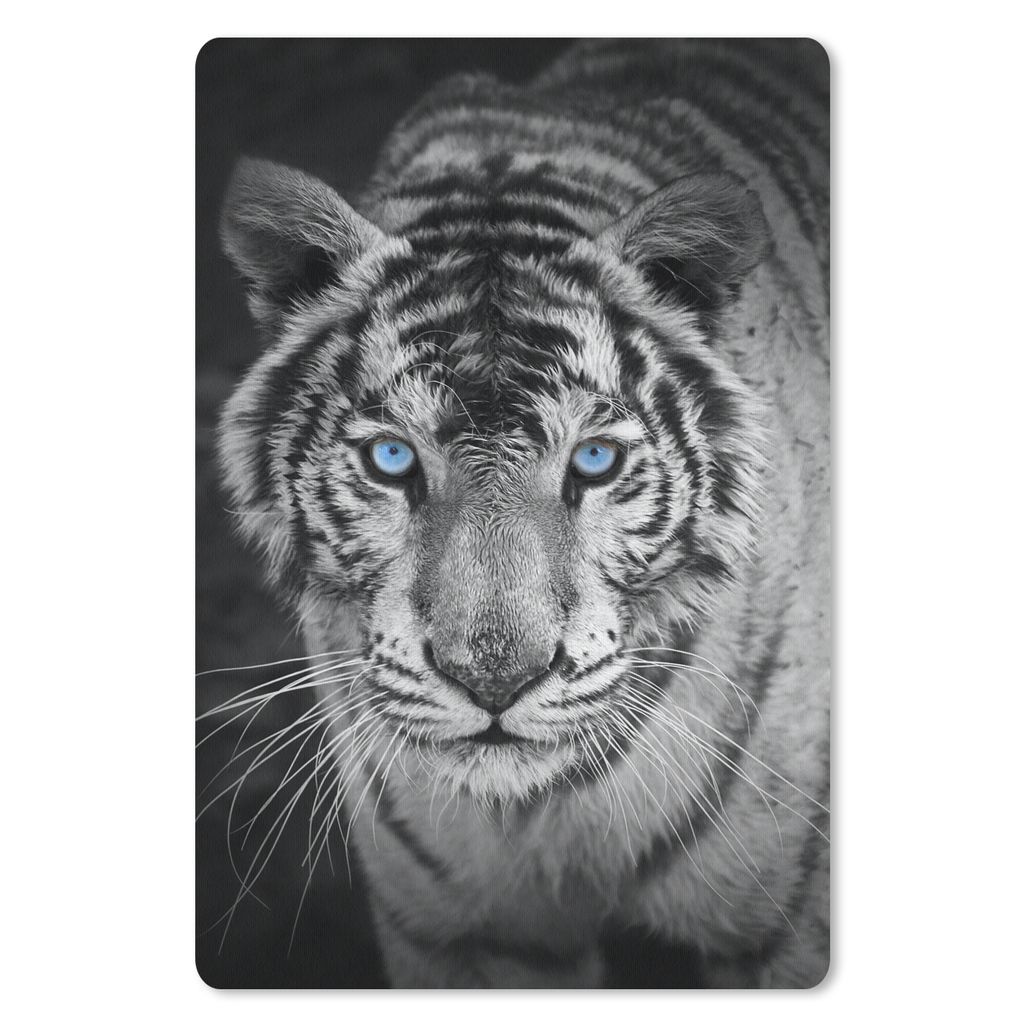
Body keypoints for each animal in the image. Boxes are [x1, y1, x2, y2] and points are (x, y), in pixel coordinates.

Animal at [213, 38, 830, 988]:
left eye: (595, 461)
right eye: (392, 459)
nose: (495, 681)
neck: (545, 813)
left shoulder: (784, 928)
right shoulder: (465, 934)